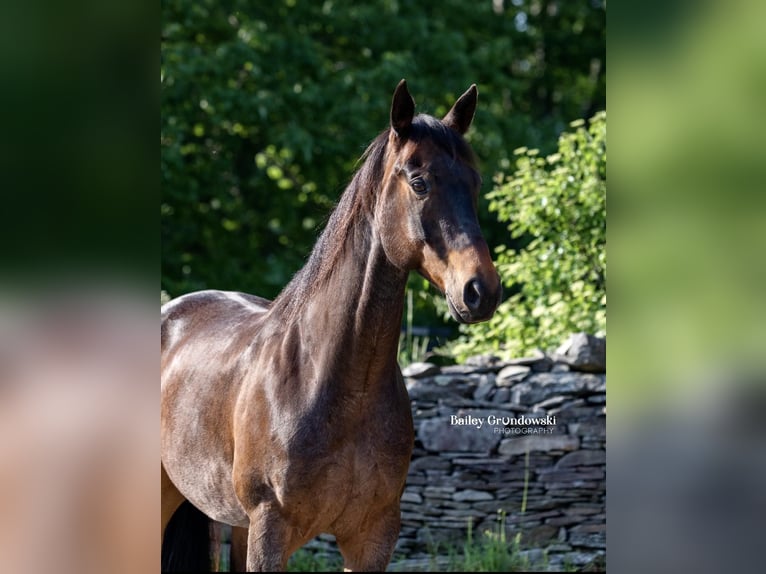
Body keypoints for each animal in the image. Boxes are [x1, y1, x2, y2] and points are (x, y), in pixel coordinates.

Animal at [162, 80, 504, 572]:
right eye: (419, 181)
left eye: (474, 184)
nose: (481, 290)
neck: (332, 383)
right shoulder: (271, 533)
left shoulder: (372, 537)